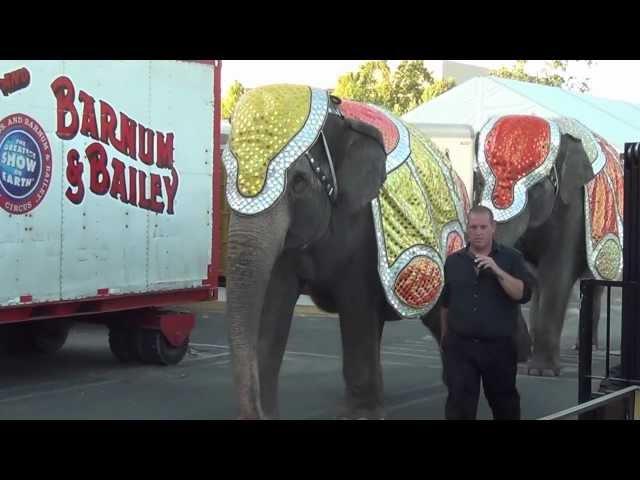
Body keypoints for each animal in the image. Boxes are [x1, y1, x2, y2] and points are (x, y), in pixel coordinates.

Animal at [222, 84, 468, 418]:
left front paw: (361, 416)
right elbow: (275, 303)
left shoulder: (362, 228)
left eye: (299, 182)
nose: (255, 411)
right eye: (224, 172)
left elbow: (356, 303)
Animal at [468, 115, 624, 376]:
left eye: (536, 188)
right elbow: (528, 277)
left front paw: (542, 372)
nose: (520, 356)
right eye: (478, 181)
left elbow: (555, 274)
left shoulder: (572, 207)